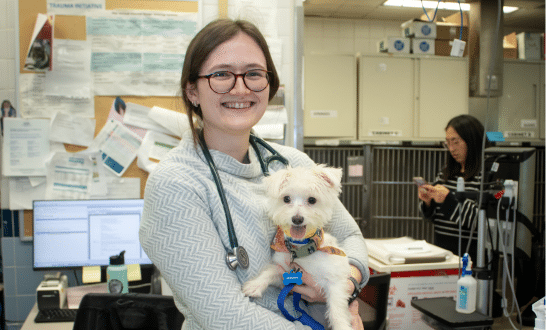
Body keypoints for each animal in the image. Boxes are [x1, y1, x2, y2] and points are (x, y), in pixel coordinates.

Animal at [242, 164, 352, 330]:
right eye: (286, 199)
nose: (297, 219)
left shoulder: (335, 280)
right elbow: (270, 272)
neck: (302, 250)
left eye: (312, 200)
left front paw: (342, 326)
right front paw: (255, 285)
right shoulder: (284, 274)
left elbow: (336, 310)